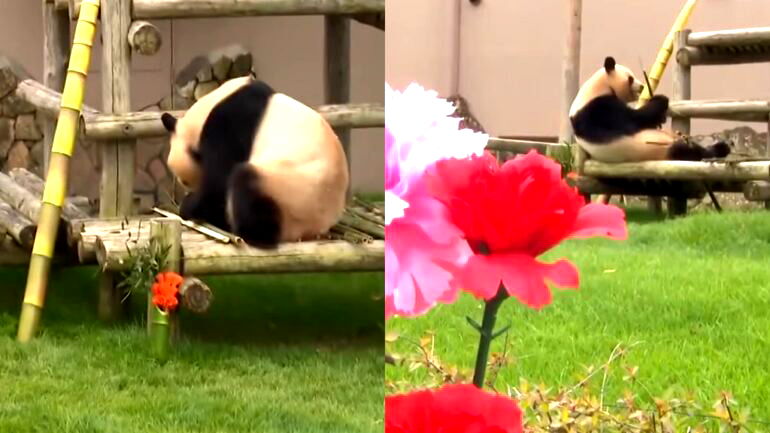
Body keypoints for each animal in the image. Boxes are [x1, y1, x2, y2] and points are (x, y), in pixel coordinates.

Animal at [160, 76, 350, 248]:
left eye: (185, 181)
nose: (188, 192)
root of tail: (313, 229)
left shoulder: (228, 126)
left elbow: (219, 181)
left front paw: (188, 207)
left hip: (294, 191)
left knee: (246, 183)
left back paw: (242, 230)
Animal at [568, 56, 728, 164]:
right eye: (630, 78)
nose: (642, 87)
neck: (597, 87)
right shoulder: (597, 109)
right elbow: (633, 120)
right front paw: (660, 100)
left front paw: (660, 119)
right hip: (659, 150)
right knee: (685, 150)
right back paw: (714, 150)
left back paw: (720, 147)